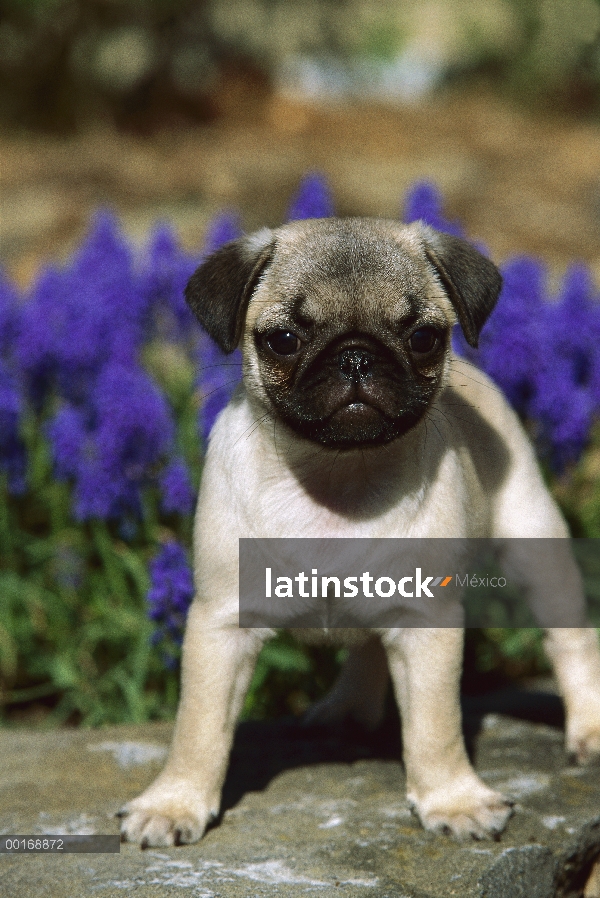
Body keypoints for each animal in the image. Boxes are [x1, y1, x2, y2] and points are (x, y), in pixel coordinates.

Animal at [119, 219, 600, 848]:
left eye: (423, 338)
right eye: (284, 340)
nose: (355, 357)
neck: (338, 476)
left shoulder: (426, 621)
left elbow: (435, 726)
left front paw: (453, 799)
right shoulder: (220, 621)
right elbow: (198, 727)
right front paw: (174, 802)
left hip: (535, 545)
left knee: (570, 640)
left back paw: (588, 728)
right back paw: (348, 709)